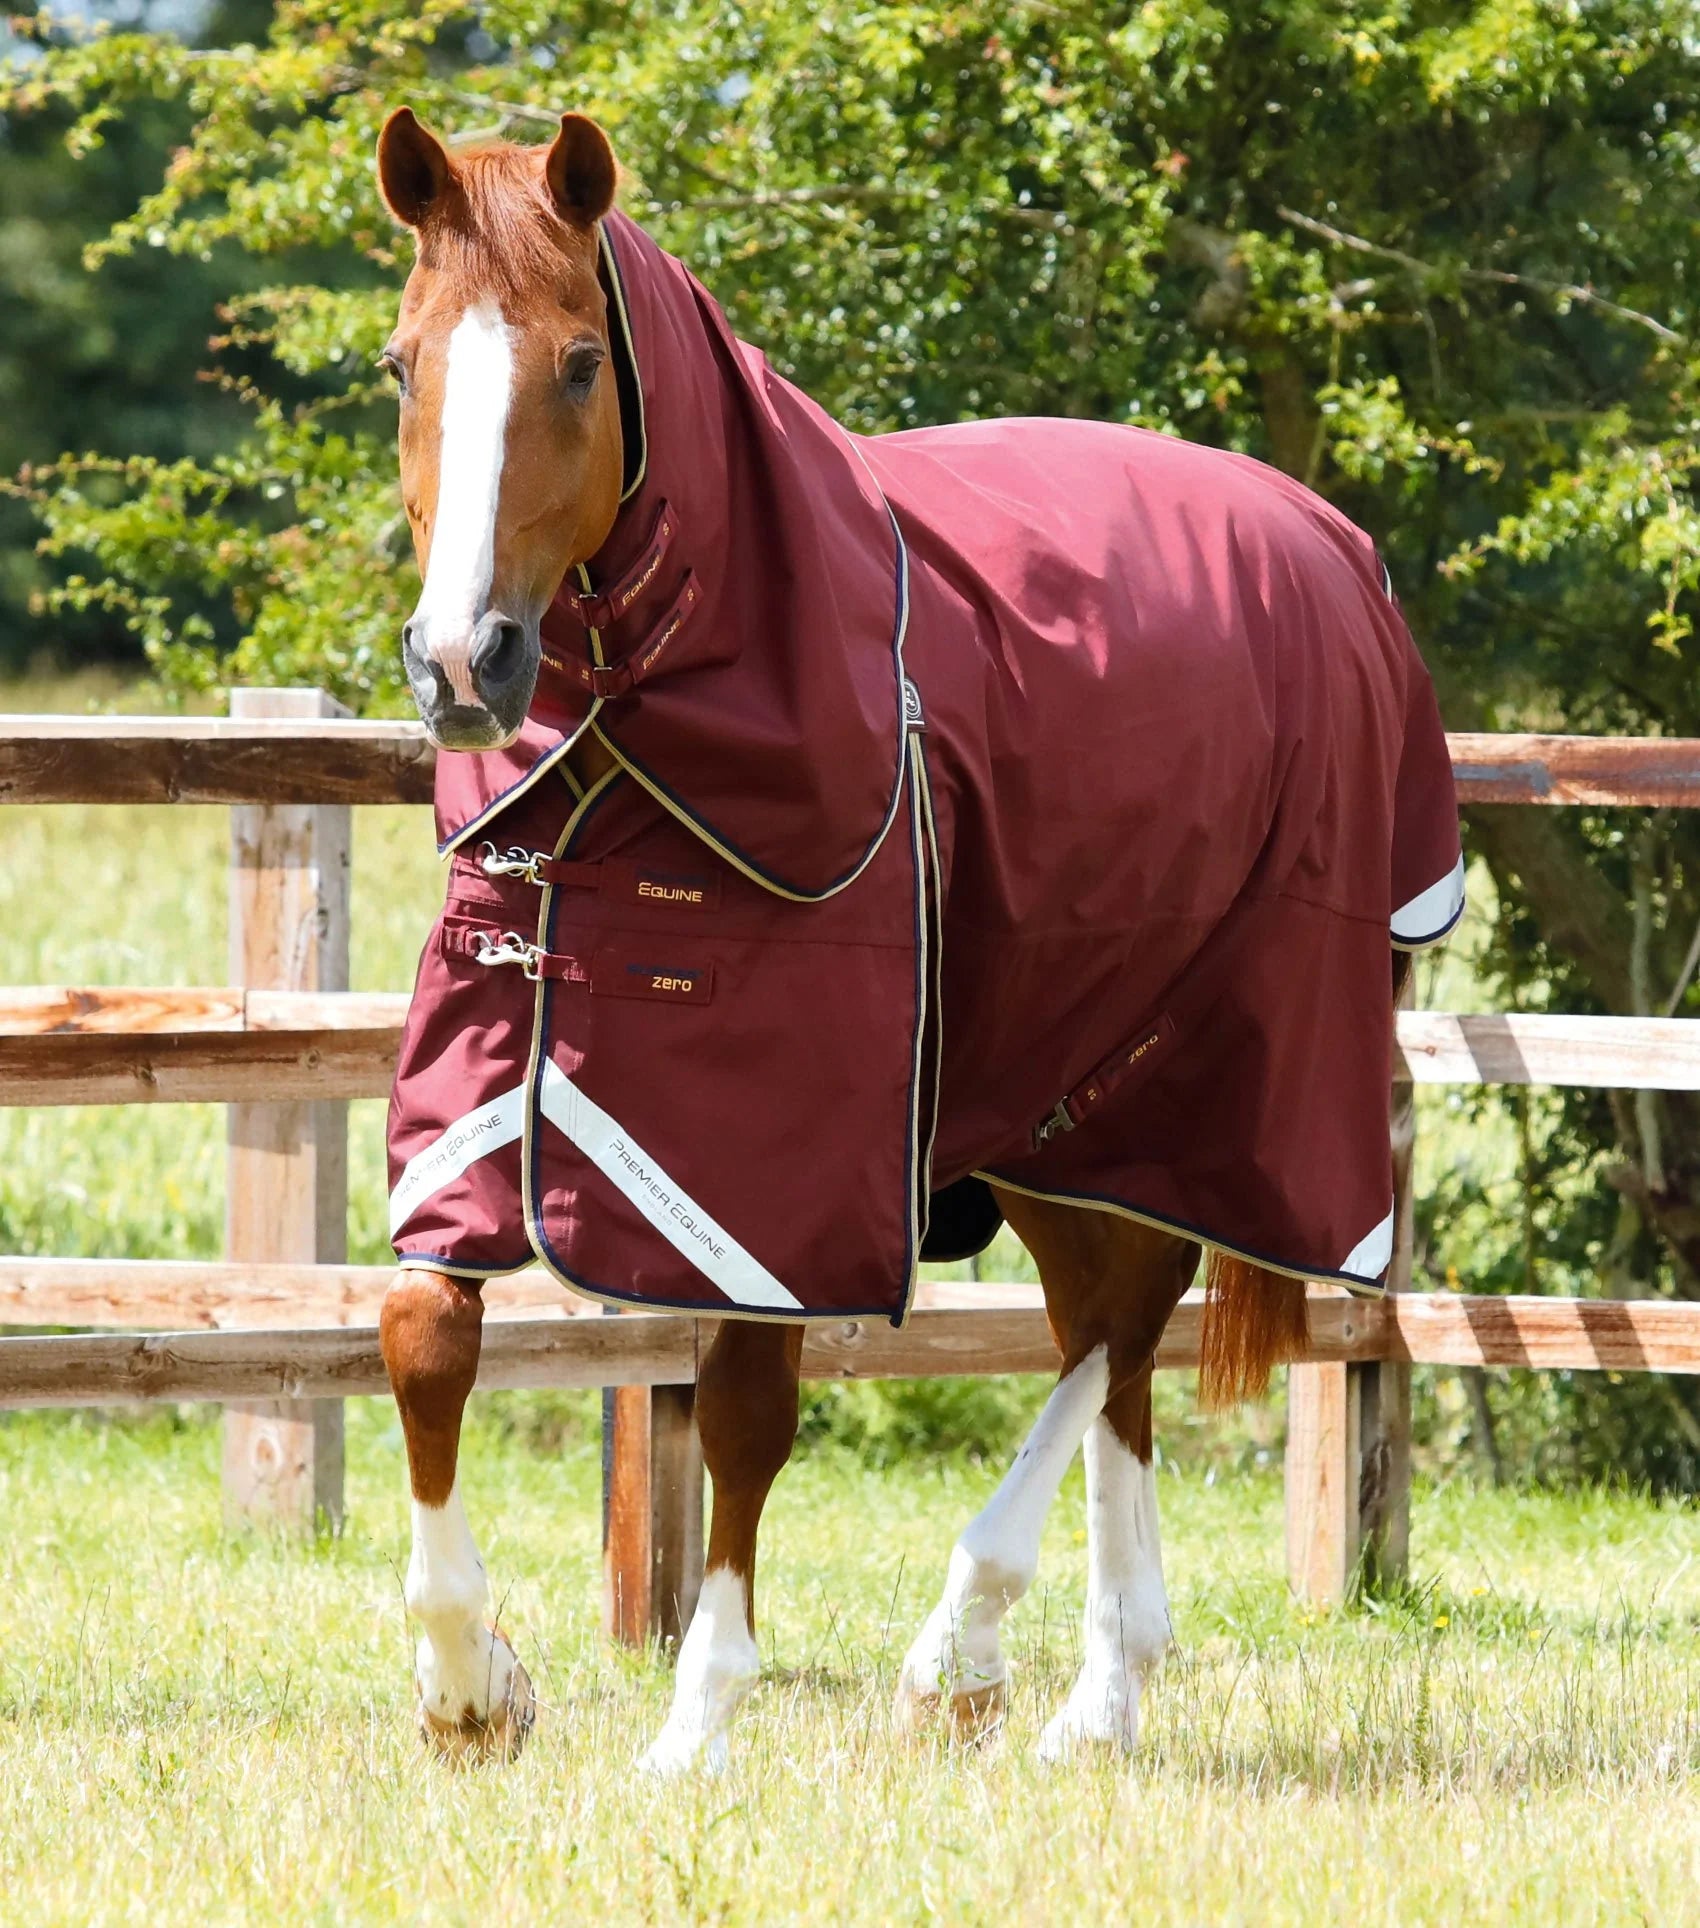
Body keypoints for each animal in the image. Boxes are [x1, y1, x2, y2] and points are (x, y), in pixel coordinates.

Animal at [371, 107, 1462, 1771]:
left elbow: (748, 1404)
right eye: (400, 364)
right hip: (1051, 1093)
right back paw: (1102, 1686)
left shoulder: (775, 1164)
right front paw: (469, 1686)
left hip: (1208, 1063)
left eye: (579, 362)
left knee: (1122, 1316)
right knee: (1108, 1330)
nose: (460, 666)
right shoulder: (492, 1076)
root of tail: (1333, 547)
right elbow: (423, 1329)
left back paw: (973, 1643)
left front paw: (696, 1722)